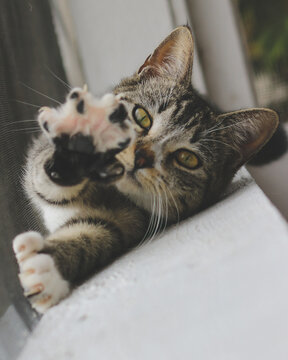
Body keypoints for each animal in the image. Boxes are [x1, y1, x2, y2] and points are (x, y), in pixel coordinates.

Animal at [12, 26, 278, 312]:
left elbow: (91, 234)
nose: (141, 157)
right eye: (142, 117)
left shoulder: (126, 221)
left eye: (187, 158)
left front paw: (46, 269)